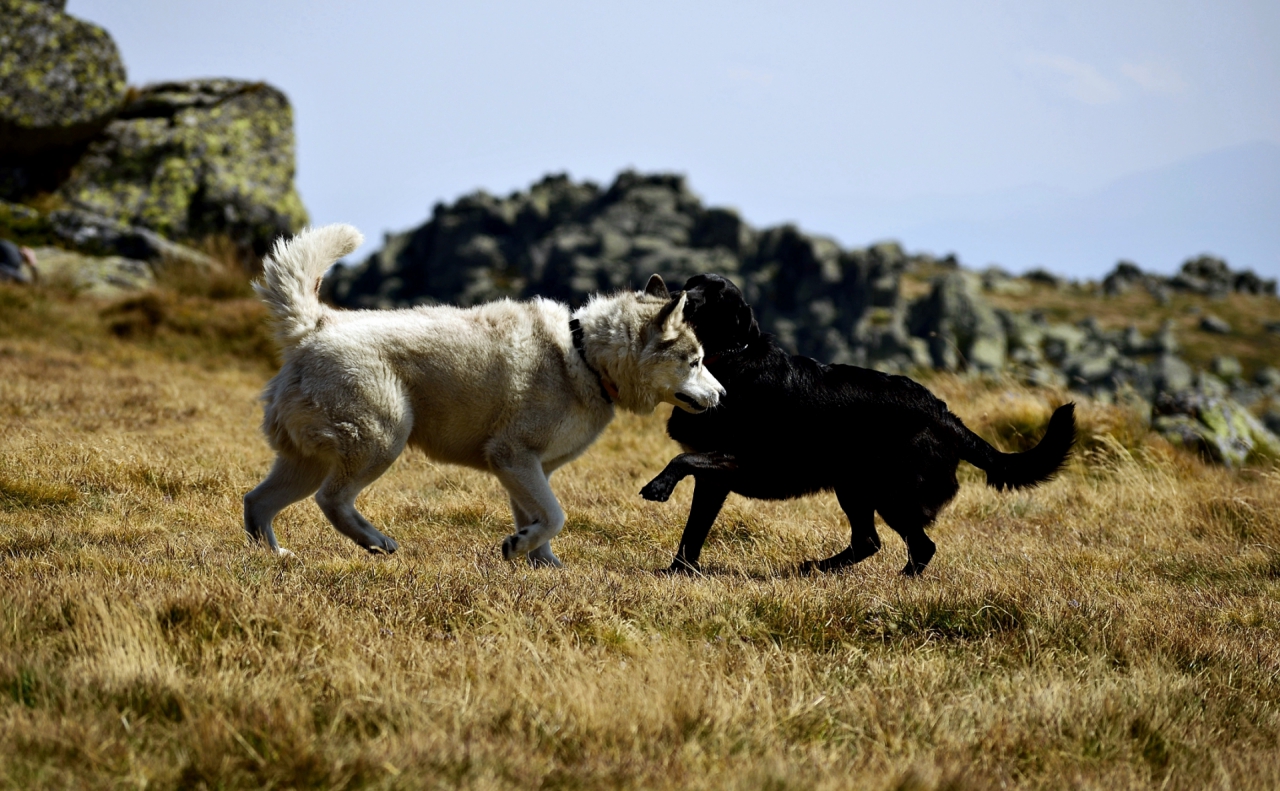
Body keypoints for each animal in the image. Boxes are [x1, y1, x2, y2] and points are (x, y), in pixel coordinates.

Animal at [240, 225, 721, 563]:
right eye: (696, 360)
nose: (723, 393)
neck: (584, 356)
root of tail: (317, 325)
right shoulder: (512, 456)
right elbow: (556, 516)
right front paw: (519, 549)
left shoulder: (527, 469)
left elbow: (540, 520)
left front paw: (541, 562)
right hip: (381, 440)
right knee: (332, 500)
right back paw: (376, 542)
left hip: (306, 462)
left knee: (256, 502)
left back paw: (273, 556)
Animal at [637, 273, 1070, 575]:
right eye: (690, 284)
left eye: (712, 296)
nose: (678, 296)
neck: (728, 359)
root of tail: (943, 413)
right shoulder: (714, 480)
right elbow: (693, 531)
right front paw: (677, 572)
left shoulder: (736, 458)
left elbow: (681, 462)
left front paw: (657, 487)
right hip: (854, 487)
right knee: (869, 541)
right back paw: (816, 569)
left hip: (889, 492)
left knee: (918, 545)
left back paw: (896, 581)